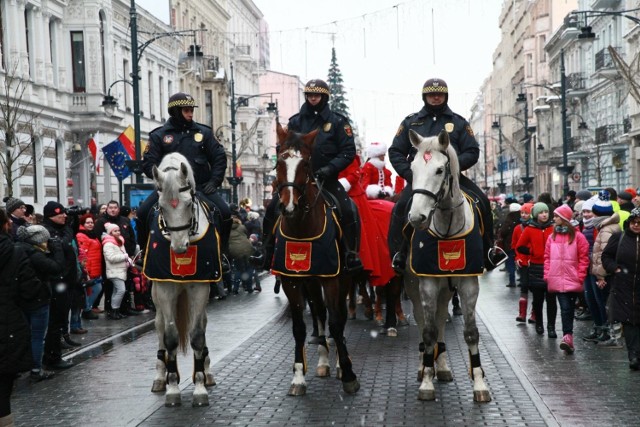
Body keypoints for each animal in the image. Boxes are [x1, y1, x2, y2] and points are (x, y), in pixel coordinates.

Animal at [148, 154, 218, 408]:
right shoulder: (165, 288)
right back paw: (161, 376)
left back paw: (206, 371)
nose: (179, 248)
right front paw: (172, 388)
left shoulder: (200, 288)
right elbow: (170, 338)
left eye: (188, 204)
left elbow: (197, 335)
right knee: (160, 327)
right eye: (162, 207)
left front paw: (199, 387)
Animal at [268, 122, 360, 396]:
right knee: (319, 313)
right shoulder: (293, 280)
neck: (302, 227)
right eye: (280, 160)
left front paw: (348, 373)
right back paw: (322, 361)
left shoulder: (331, 278)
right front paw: (299, 376)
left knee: (337, 313)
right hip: (311, 281)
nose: (288, 206)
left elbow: (337, 323)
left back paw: (338, 364)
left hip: (343, 277)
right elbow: (300, 327)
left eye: (306, 163)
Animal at [404, 131, 490, 404]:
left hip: (445, 289)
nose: (417, 218)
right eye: (412, 168)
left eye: (440, 169)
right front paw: (426, 383)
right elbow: (428, 331)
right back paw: (425, 366)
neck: (448, 229)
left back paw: (440, 365)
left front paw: (479, 383)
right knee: (424, 321)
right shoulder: (427, 283)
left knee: (442, 316)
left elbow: (471, 332)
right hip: (415, 286)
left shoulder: (469, 283)